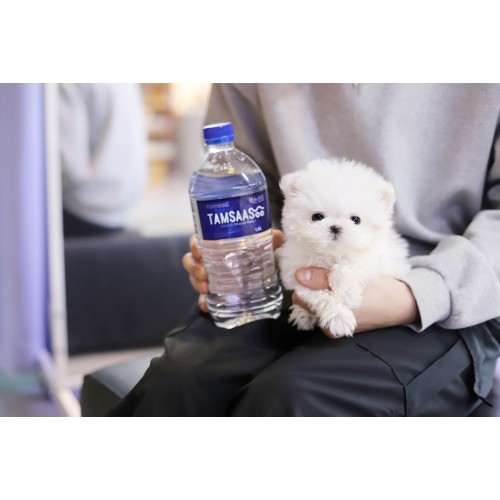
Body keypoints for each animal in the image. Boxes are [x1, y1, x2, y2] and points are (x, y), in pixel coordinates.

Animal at [278, 158, 410, 337]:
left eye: (356, 219)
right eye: (317, 217)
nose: (335, 227)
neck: (332, 254)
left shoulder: (378, 261)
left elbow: (351, 265)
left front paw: (347, 292)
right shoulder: (298, 274)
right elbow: (320, 296)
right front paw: (339, 318)